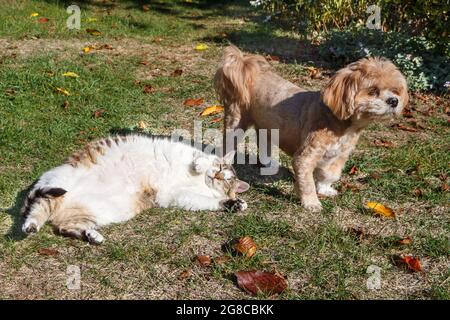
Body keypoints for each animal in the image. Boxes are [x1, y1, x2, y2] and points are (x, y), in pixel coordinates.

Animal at [22, 134, 250, 242]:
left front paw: (236, 204)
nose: (216, 175)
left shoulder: (182, 196)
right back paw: (30, 226)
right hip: (60, 182)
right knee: (38, 206)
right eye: (219, 168)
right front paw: (201, 166)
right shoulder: (190, 154)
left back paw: (91, 236)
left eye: (226, 181)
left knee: (64, 227)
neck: (201, 182)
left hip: (91, 212)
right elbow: (199, 159)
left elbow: (211, 202)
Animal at [214, 44, 408, 210]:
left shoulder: (339, 156)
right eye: (373, 91)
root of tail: (246, 67)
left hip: (268, 125)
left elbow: (329, 175)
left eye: (396, 90)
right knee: (228, 146)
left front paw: (324, 189)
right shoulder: (305, 157)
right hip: (236, 123)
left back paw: (269, 163)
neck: (339, 122)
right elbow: (306, 183)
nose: (394, 100)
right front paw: (311, 202)